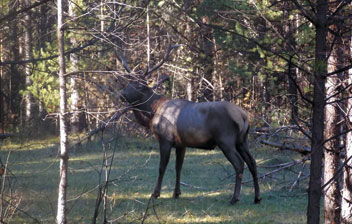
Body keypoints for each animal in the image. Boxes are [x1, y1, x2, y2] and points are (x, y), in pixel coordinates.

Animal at [118, 45, 262, 205]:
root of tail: (244, 117)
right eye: (128, 83)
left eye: (139, 85)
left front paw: (155, 194)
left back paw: (235, 198)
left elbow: (162, 167)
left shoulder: (165, 139)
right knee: (253, 162)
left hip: (226, 139)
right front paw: (176, 193)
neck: (153, 112)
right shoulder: (182, 143)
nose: (121, 94)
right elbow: (178, 167)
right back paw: (257, 197)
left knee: (239, 164)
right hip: (242, 140)